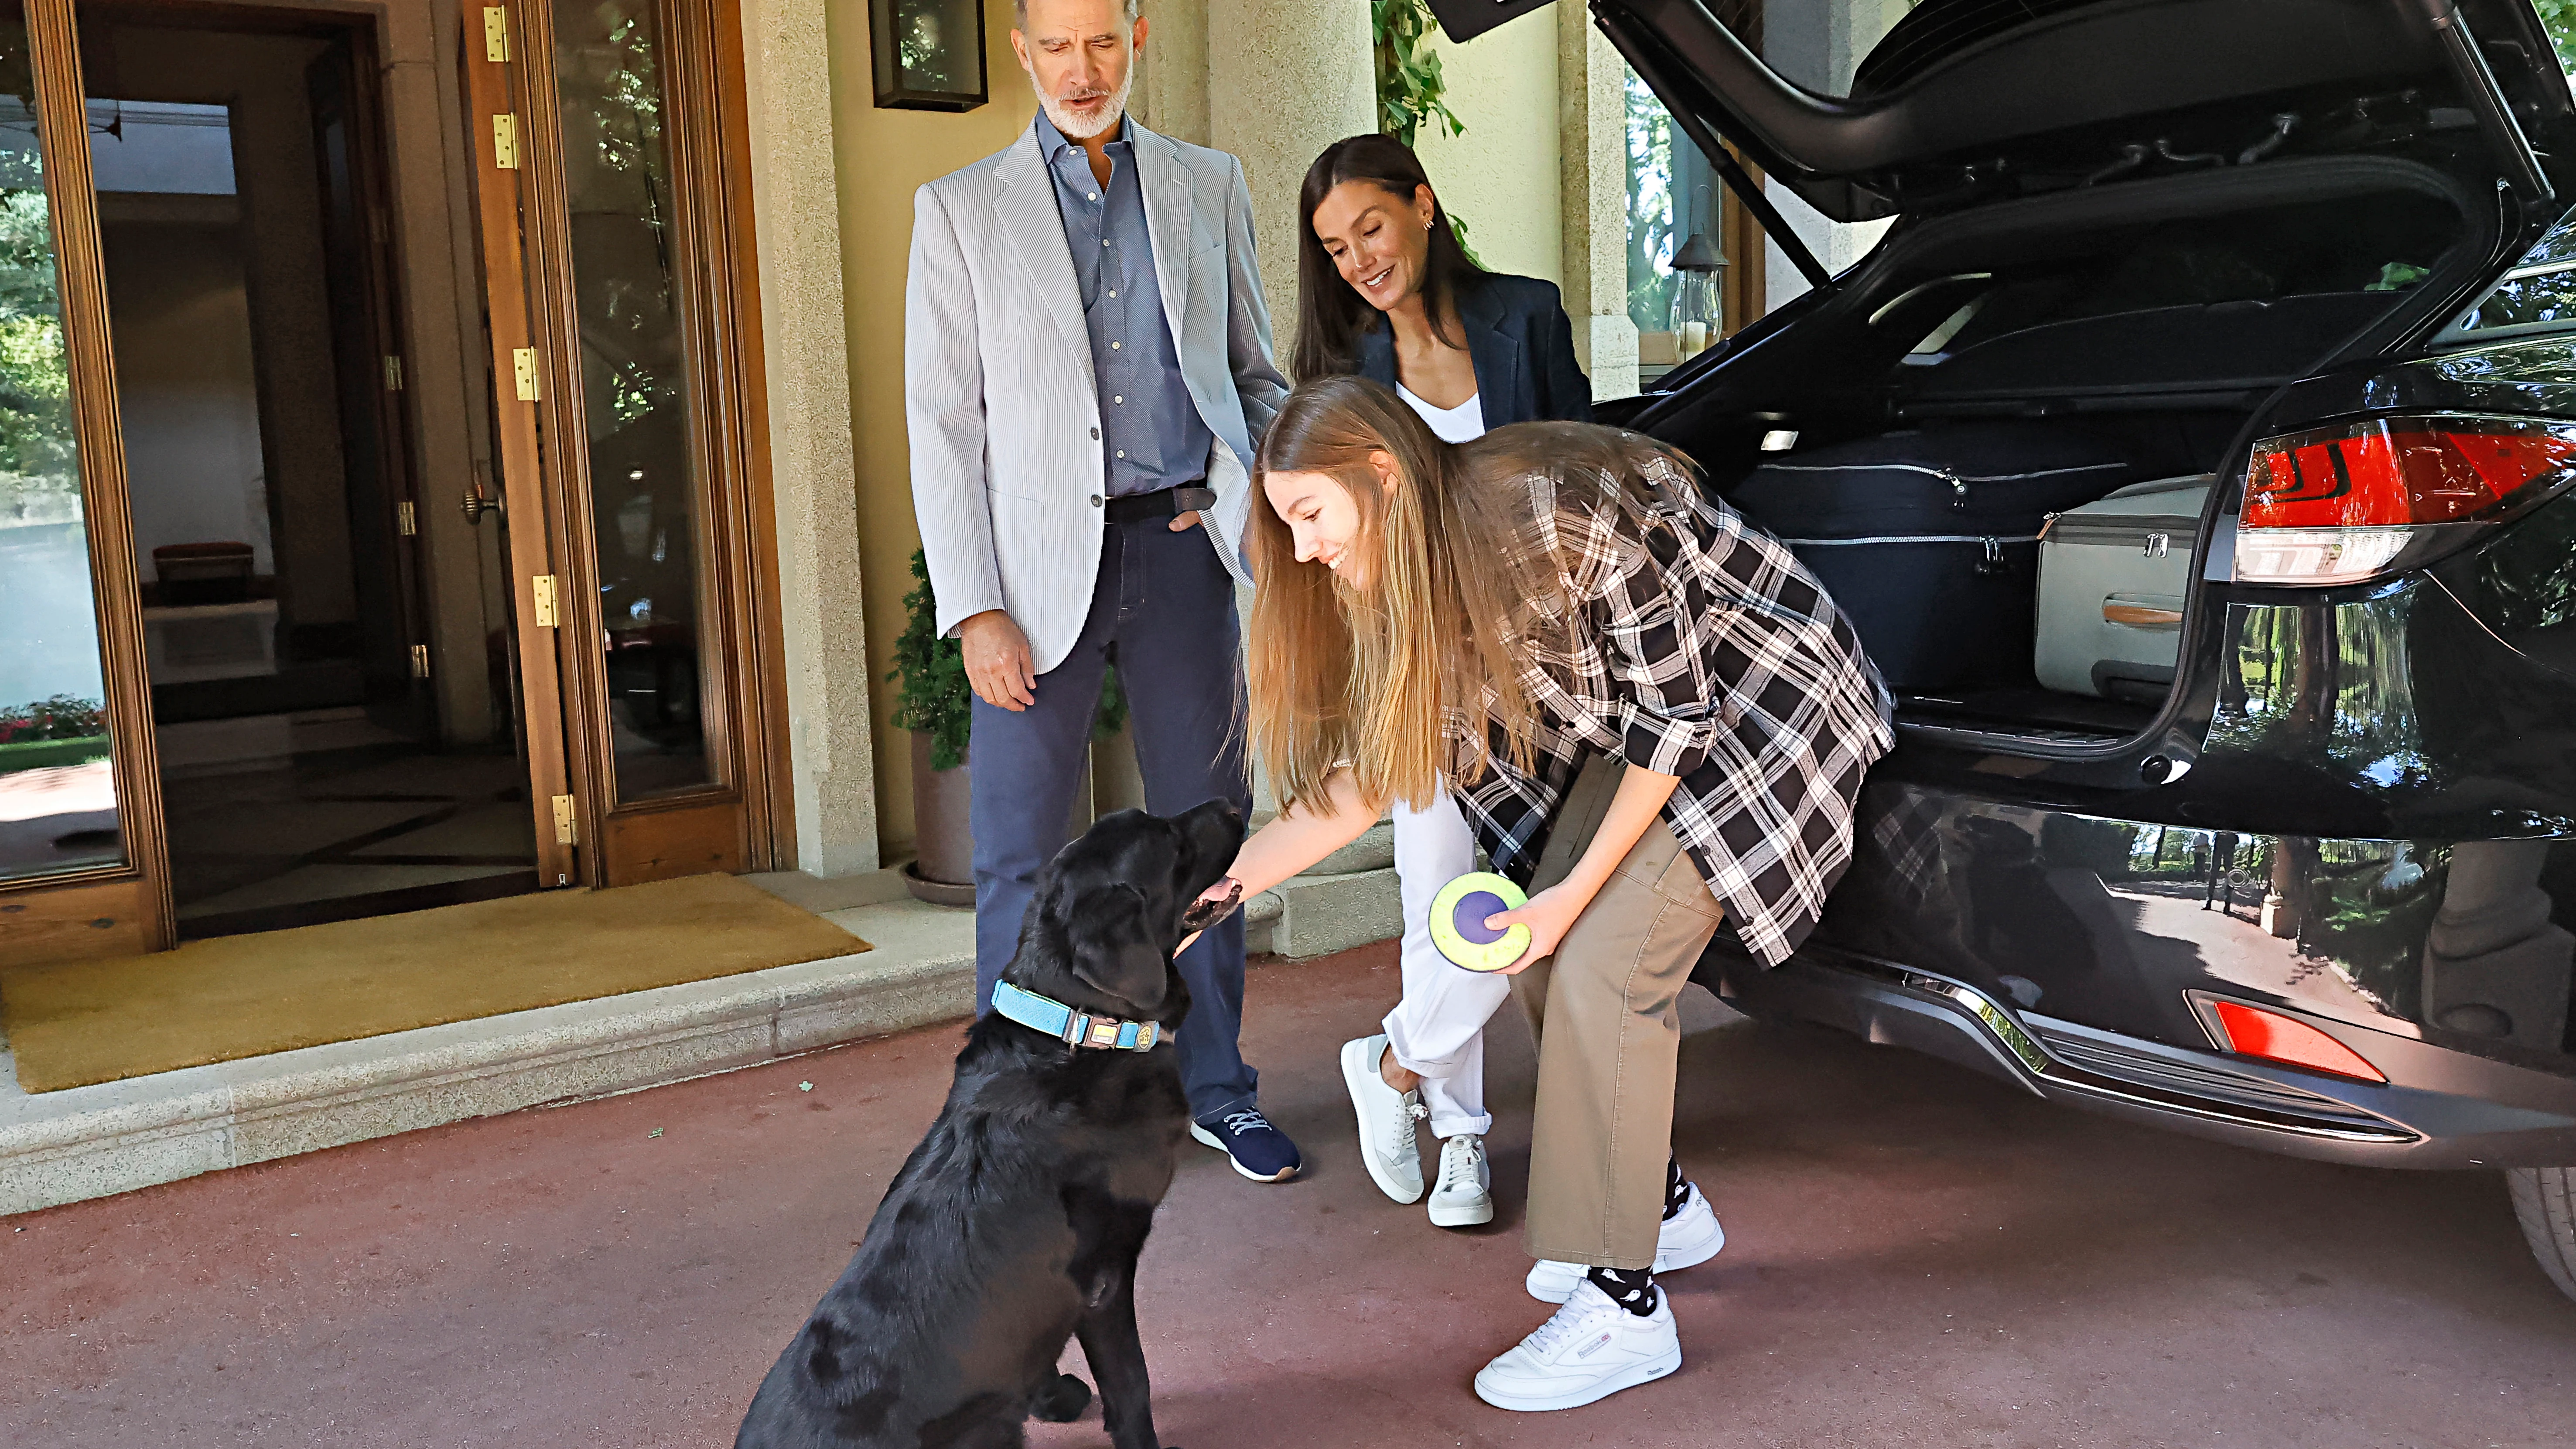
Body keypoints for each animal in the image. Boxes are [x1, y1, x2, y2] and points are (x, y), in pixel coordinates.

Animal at [737, 799, 1247, 1444]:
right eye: (1173, 843)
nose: (1233, 803)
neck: (1076, 1029)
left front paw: (1050, 1394)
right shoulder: (1103, 1281)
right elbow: (1132, 1381)